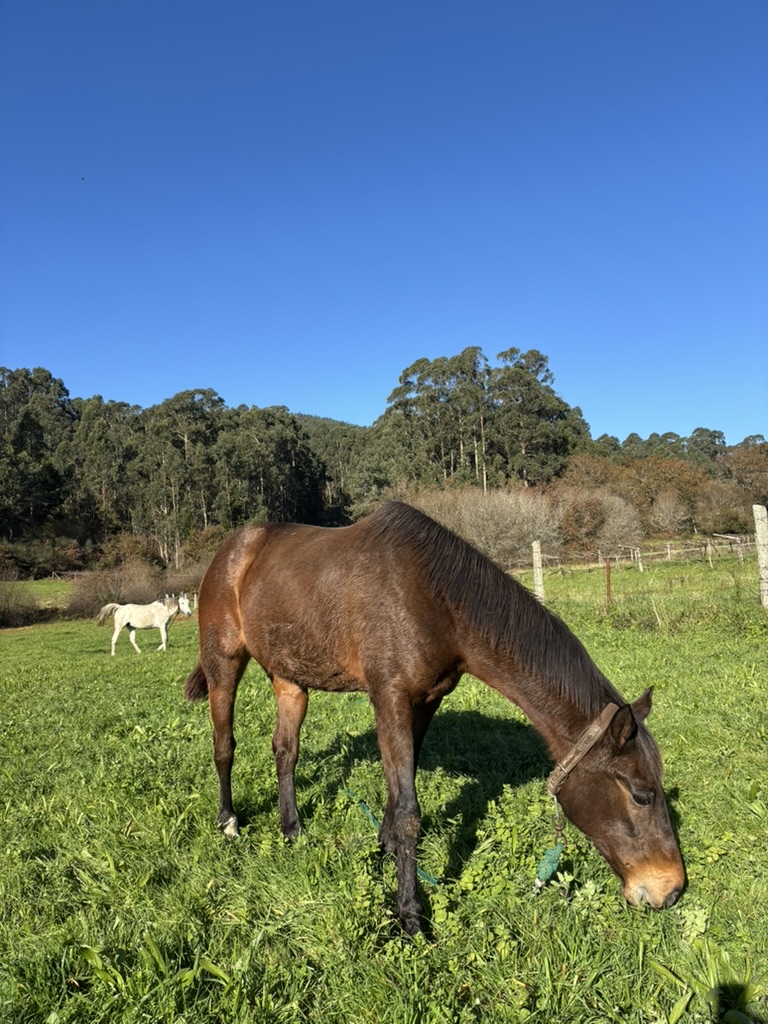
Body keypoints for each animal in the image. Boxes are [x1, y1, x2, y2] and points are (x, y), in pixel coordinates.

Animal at [184, 502, 684, 934]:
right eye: (641, 795)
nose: (672, 890)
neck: (433, 596)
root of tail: (230, 552)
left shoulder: (425, 701)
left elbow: (396, 794)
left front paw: (383, 850)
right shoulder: (389, 696)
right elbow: (409, 809)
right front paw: (409, 915)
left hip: (289, 678)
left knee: (285, 750)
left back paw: (291, 830)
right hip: (224, 663)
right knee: (224, 746)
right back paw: (229, 821)